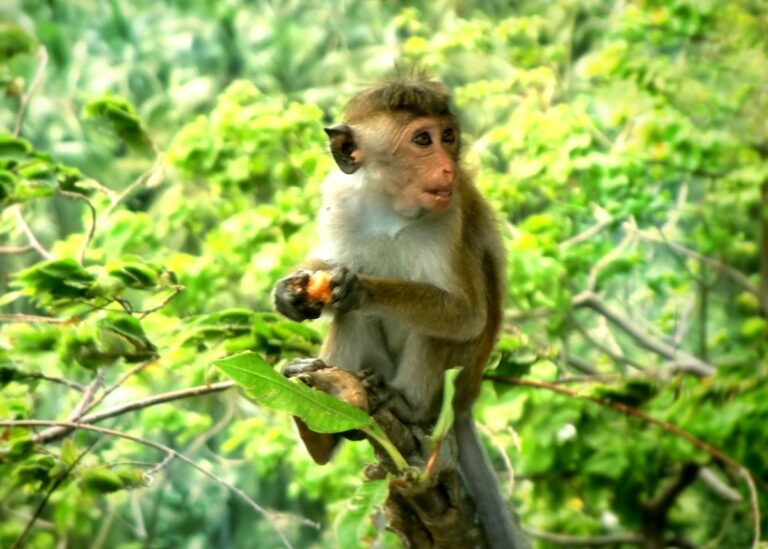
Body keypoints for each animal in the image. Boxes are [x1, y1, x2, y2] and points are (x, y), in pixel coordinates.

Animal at [273, 73, 527, 549]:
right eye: (422, 140)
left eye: (448, 137)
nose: (447, 167)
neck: (388, 209)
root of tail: (465, 402)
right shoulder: (339, 196)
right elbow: (326, 261)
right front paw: (287, 293)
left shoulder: (452, 214)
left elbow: (466, 315)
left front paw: (360, 286)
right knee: (353, 324)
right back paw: (317, 425)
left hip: (449, 385)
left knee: (433, 330)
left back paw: (405, 406)